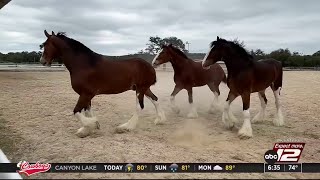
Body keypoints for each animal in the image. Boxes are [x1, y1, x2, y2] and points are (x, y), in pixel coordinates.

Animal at [38, 30, 166, 138]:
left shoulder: (86, 94)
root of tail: (150, 66)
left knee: (139, 107)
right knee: (155, 99)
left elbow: (76, 111)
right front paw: (87, 129)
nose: (42, 61)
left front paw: (93, 124)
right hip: (144, 88)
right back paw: (160, 120)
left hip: (140, 89)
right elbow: (87, 111)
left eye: (45, 44)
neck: (84, 64)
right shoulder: (86, 95)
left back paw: (126, 127)